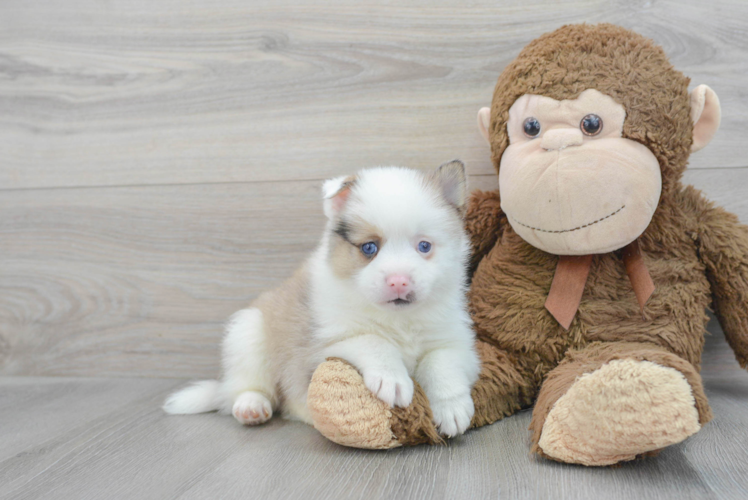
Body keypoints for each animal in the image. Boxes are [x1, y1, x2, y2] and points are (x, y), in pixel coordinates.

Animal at [163, 161, 480, 438]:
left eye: (424, 246)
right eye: (369, 248)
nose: (398, 281)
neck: (398, 320)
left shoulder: (457, 343)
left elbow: (441, 363)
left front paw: (452, 408)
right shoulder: (325, 345)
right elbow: (372, 340)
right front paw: (393, 379)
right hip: (248, 334)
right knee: (245, 387)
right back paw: (251, 406)